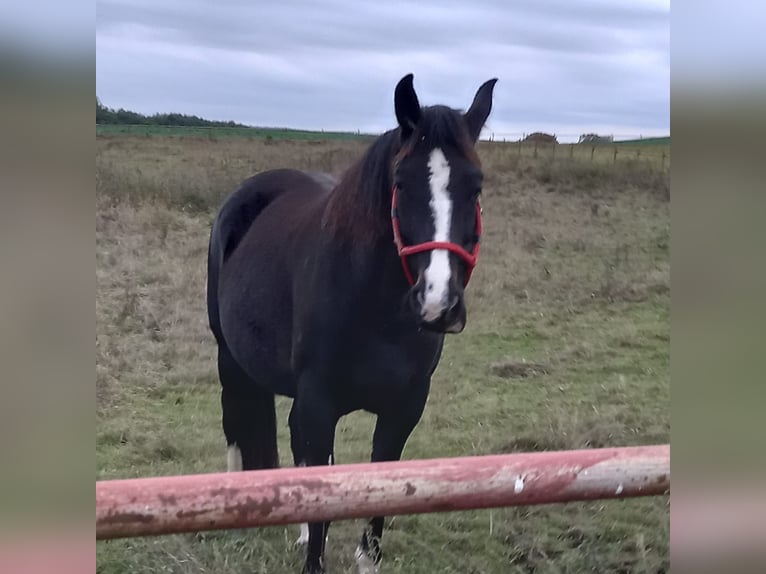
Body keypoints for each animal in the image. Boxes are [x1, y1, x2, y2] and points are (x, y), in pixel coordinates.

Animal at [207, 74, 500, 572]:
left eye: (475, 186)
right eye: (401, 182)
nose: (437, 302)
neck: (376, 310)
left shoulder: (405, 406)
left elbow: (375, 483)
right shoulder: (319, 402)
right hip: (230, 357)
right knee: (237, 418)